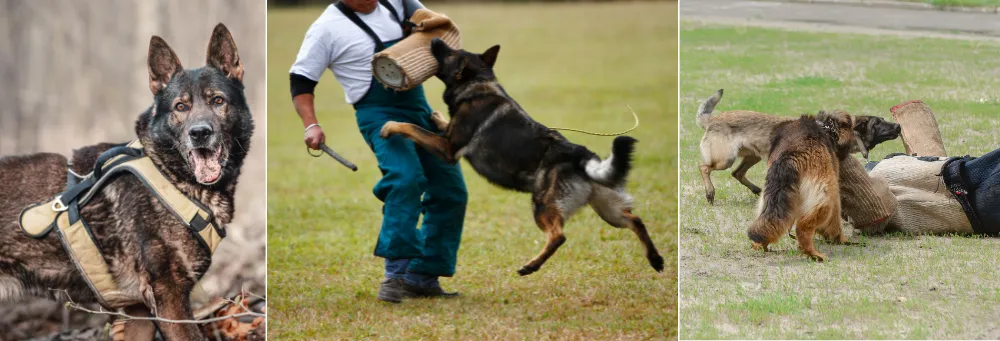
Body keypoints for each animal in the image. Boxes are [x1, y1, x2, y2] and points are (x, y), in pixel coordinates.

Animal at [0, 23, 250, 338]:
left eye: (218, 101)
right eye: (181, 107)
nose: (200, 133)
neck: (168, 175)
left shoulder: (137, 313)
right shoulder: (170, 300)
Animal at [376, 38, 664, 274]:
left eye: (450, 52)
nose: (434, 38)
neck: (478, 83)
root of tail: (579, 154)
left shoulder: (447, 149)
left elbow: (411, 127)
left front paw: (390, 126)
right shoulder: (447, 139)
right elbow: (439, 124)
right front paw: (437, 116)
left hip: (543, 204)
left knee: (558, 236)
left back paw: (530, 266)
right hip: (608, 211)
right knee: (636, 220)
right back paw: (655, 259)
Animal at [696, 89, 900, 203]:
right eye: (878, 123)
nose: (898, 126)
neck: (834, 130)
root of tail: (712, 119)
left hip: (751, 156)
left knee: (737, 173)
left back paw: (756, 190)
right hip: (725, 158)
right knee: (704, 167)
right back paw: (710, 193)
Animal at [744, 110, 860, 258]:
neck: (825, 127)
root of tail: (789, 156)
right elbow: (835, 219)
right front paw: (839, 239)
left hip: (770, 195)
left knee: (767, 219)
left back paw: (760, 244)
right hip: (824, 194)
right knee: (803, 228)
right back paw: (814, 254)